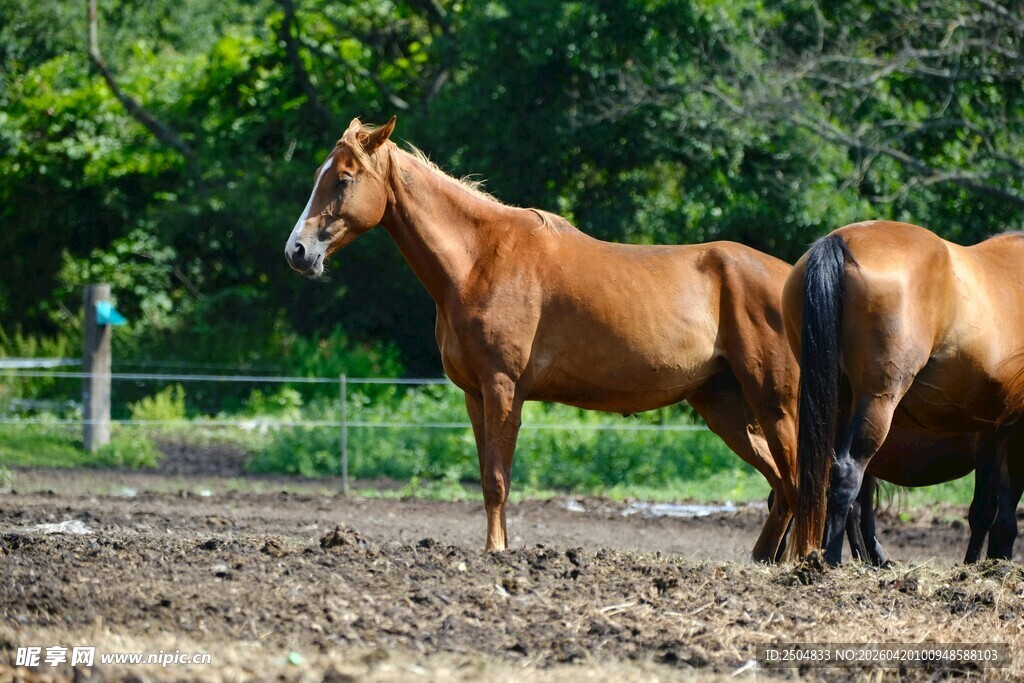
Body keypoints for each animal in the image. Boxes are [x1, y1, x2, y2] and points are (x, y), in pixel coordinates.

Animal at [283, 117, 803, 559]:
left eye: (344, 178)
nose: (297, 251)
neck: (477, 261)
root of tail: (793, 278)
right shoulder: (475, 395)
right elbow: (487, 476)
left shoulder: (503, 388)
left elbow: (497, 479)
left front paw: (496, 551)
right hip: (725, 406)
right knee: (781, 487)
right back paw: (766, 560)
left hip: (775, 405)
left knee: (799, 481)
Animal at [783, 220, 1024, 564]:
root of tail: (839, 240)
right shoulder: (1014, 432)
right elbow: (1000, 515)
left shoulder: (990, 427)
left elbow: (984, 510)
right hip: (877, 403)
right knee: (848, 477)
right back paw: (832, 560)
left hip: (840, 404)